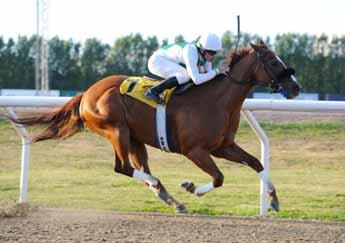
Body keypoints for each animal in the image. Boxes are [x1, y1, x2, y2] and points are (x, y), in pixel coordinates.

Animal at [7, 40, 298, 213]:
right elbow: (219, 178)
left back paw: (170, 199)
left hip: (135, 138)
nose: (295, 87)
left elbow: (256, 163)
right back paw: (162, 187)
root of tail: (88, 92)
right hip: (116, 130)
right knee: (123, 167)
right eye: (274, 61)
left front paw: (273, 198)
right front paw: (191, 187)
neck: (217, 101)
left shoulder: (223, 146)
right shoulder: (195, 151)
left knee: (137, 167)